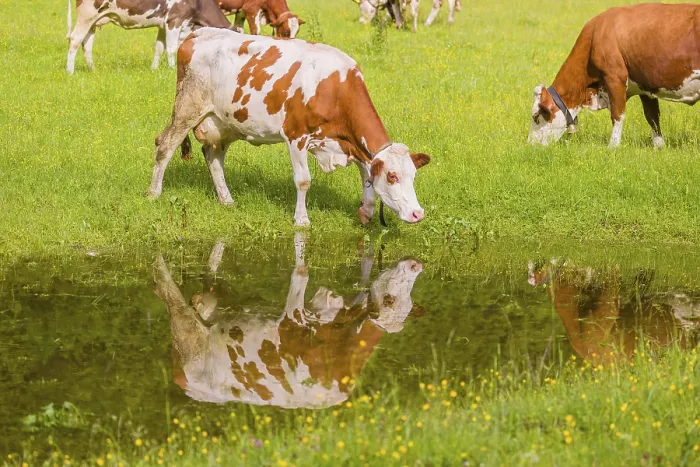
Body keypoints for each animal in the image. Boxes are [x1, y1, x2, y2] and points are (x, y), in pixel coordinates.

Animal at [65, 0, 232, 75]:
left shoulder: (163, 24)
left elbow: (159, 48)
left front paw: (154, 69)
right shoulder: (174, 20)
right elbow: (172, 49)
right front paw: (172, 69)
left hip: (93, 20)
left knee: (86, 44)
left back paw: (92, 69)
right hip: (87, 14)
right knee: (75, 40)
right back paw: (70, 71)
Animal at [147, 28, 431, 226]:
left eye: (414, 176)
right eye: (393, 176)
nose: (418, 214)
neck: (335, 87)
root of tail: (197, 33)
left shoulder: (349, 142)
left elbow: (366, 175)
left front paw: (367, 211)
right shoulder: (296, 136)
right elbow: (303, 180)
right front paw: (301, 219)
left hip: (224, 122)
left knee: (213, 157)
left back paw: (226, 200)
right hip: (187, 107)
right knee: (165, 145)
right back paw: (153, 193)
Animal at [153, 234, 424, 406]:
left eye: (409, 302)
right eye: (388, 299)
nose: (416, 264)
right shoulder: (294, 314)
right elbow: (301, 273)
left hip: (219, 304)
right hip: (187, 333)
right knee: (165, 287)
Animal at [529, 3, 700, 148]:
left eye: (536, 116)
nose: (530, 145)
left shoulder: (614, 77)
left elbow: (617, 114)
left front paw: (613, 146)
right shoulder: (645, 85)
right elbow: (652, 116)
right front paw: (658, 147)